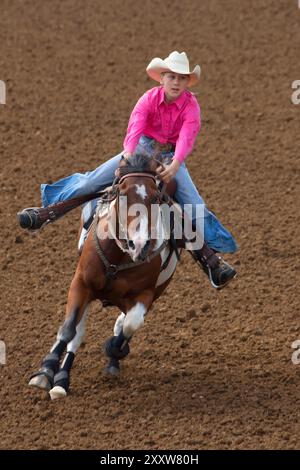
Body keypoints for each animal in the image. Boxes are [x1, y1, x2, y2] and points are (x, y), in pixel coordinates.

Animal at [28, 155, 183, 400]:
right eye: (122, 193)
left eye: (156, 197)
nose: (139, 244)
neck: (118, 258)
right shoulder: (81, 283)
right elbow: (69, 329)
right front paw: (44, 371)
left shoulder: (146, 294)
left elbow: (130, 325)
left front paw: (114, 349)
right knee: (77, 333)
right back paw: (61, 379)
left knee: (122, 323)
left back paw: (110, 361)